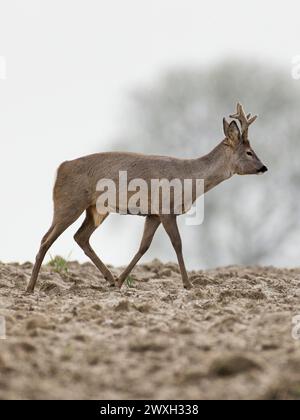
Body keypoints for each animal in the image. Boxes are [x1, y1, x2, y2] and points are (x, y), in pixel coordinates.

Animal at [27, 102, 268, 292]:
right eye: (249, 152)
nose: (264, 167)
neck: (189, 179)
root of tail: (61, 168)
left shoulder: (152, 214)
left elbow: (143, 246)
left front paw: (121, 282)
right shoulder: (166, 208)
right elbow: (177, 244)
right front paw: (188, 284)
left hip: (96, 208)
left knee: (80, 237)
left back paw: (109, 278)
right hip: (68, 203)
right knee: (46, 239)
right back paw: (30, 288)